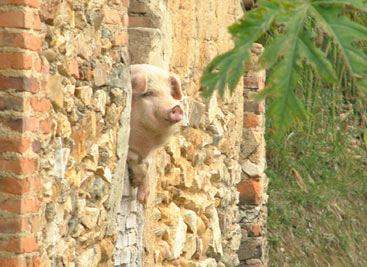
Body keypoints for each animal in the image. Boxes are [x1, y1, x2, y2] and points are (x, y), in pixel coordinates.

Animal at [128, 63, 184, 204]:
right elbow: (138, 163)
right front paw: (136, 186)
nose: (177, 107)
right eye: (148, 93)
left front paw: (143, 199)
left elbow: (147, 166)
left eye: (169, 94)